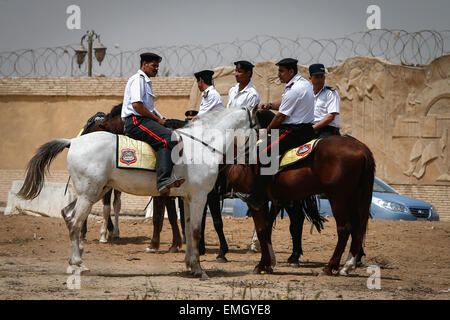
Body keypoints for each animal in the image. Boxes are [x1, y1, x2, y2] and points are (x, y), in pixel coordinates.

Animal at [17, 107, 256, 278]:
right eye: (257, 127)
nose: (253, 158)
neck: (201, 146)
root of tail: (73, 141)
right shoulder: (199, 198)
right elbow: (196, 232)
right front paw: (199, 270)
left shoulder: (188, 199)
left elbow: (189, 231)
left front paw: (191, 265)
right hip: (89, 194)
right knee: (75, 223)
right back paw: (78, 265)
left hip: (93, 192)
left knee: (67, 215)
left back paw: (75, 263)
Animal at [223, 134, 374, 276]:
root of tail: (361, 148)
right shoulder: (270, 201)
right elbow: (267, 227)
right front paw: (269, 263)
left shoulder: (256, 202)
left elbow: (261, 229)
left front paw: (262, 264)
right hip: (354, 197)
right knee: (357, 229)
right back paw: (348, 266)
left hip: (338, 197)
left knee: (344, 228)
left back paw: (329, 267)